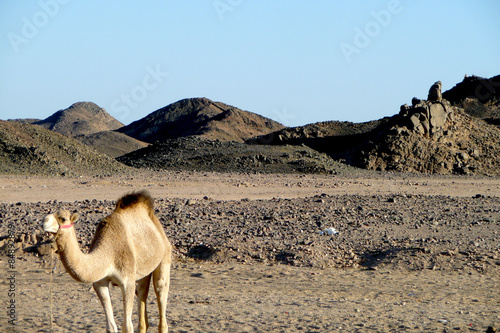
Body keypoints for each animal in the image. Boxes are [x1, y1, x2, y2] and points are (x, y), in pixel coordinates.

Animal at [43, 191, 172, 330]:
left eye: (63, 218)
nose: (44, 221)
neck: (107, 253)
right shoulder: (100, 283)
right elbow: (111, 326)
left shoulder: (127, 282)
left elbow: (127, 326)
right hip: (143, 270)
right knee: (142, 294)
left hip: (165, 257)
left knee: (160, 291)